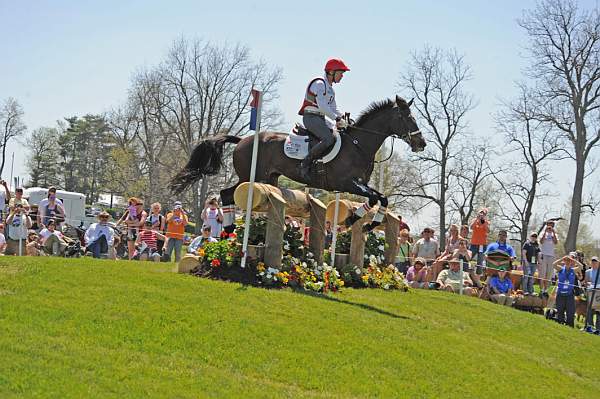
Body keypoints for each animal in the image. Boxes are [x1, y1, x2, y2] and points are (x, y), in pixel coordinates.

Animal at [170, 96, 426, 234]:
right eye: (407, 118)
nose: (421, 143)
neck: (358, 144)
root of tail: (242, 139)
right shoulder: (348, 183)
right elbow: (376, 198)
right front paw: (356, 221)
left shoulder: (359, 184)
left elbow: (381, 199)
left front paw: (362, 223)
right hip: (249, 176)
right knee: (225, 193)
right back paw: (230, 229)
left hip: (267, 179)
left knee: (231, 194)